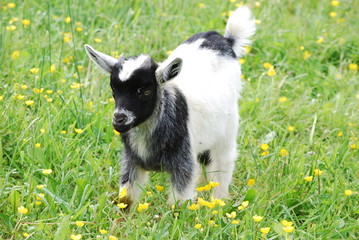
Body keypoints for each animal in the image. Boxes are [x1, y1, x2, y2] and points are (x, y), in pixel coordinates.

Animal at [85, 6, 256, 207]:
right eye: (114, 89)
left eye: (146, 91)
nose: (119, 119)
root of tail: (224, 40)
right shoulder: (132, 161)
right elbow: (126, 199)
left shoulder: (182, 164)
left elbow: (177, 204)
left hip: (228, 130)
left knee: (223, 162)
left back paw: (218, 201)